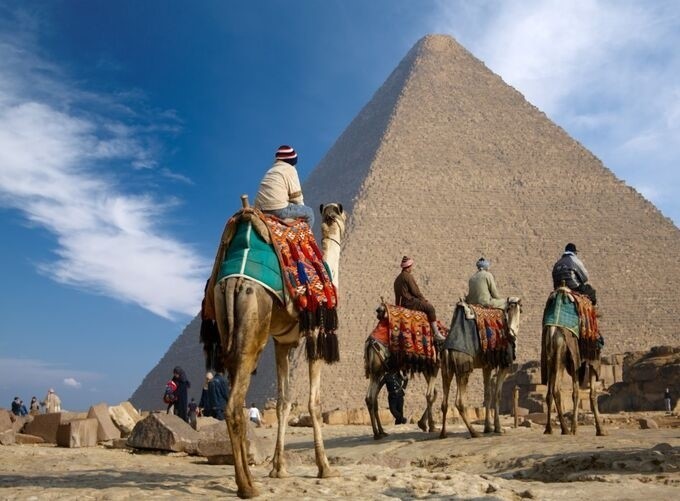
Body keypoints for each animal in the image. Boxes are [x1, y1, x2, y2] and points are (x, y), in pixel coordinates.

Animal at [210, 202, 346, 496]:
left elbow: (284, 402)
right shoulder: (315, 333)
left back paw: (247, 480)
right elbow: (314, 402)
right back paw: (247, 486)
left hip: (227, 328)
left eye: (336, 211)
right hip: (253, 331)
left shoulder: (283, 342)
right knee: (233, 406)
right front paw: (325, 468)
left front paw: (278, 469)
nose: (334, 214)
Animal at [364, 304, 438, 438]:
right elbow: (430, 394)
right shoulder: (434, 365)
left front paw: (423, 424)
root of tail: (369, 344)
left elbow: (433, 393)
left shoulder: (426, 368)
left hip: (377, 372)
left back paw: (380, 432)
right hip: (378, 370)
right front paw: (430, 426)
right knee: (372, 397)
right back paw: (378, 433)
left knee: (371, 397)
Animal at [440, 296, 520, 438]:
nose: (511, 334)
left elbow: (487, 394)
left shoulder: (486, 366)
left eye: (518, 310)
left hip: (446, 370)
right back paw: (474, 432)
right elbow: (497, 394)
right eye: (510, 310)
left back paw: (443, 433)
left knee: (444, 402)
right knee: (459, 402)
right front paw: (498, 429)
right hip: (463, 369)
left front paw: (488, 427)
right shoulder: (504, 365)